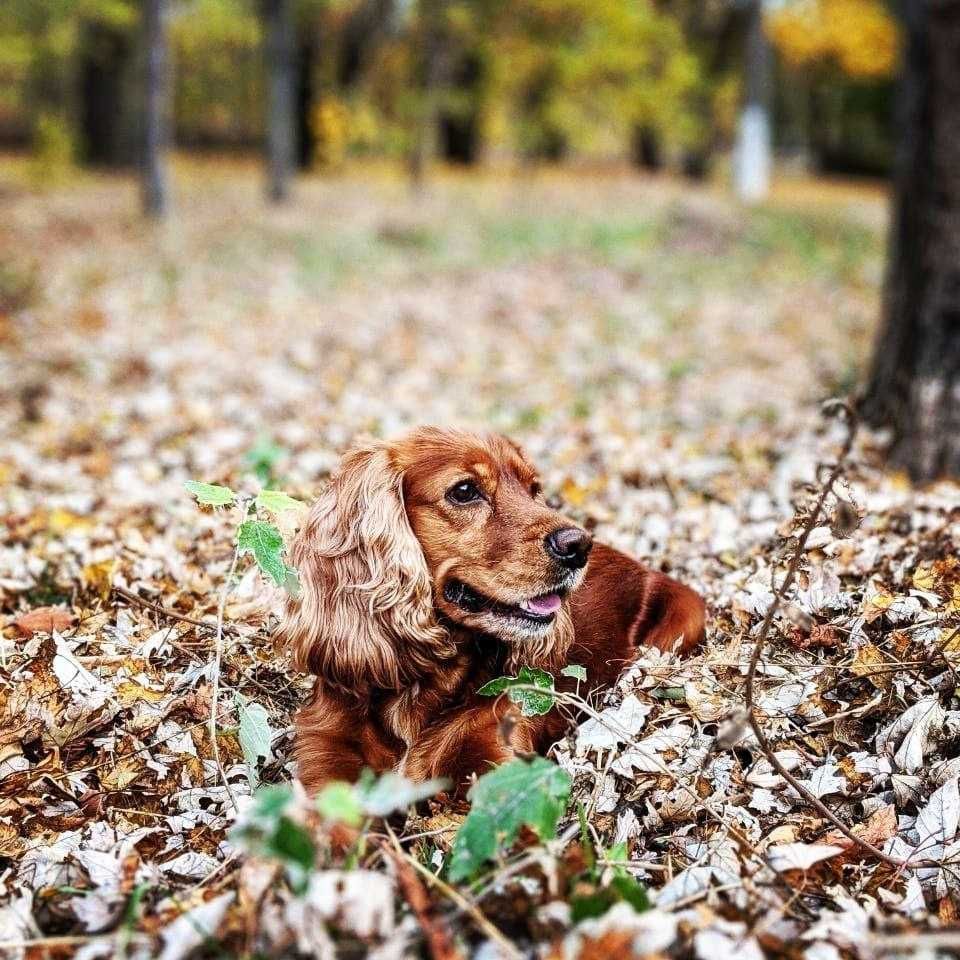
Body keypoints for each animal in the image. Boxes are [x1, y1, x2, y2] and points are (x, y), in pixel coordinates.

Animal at [278, 428, 704, 796]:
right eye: (465, 491)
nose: (578, 545)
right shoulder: (326, 751)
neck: (421, 682)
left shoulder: (496, 752)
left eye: (534, 490)